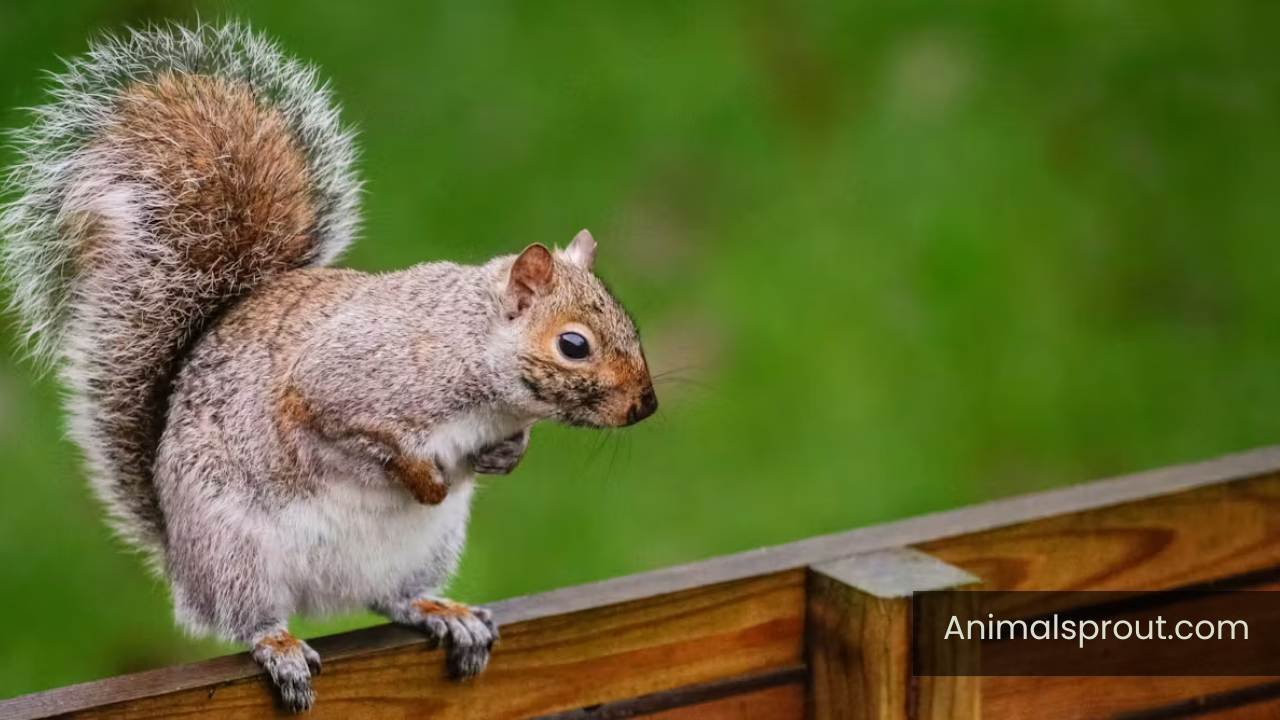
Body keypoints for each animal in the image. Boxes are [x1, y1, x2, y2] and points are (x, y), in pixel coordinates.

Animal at [0, 22, 657, 712]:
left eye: (629, 323)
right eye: (574, 345)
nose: (646, 404)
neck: (472, 357)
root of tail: (180, 557)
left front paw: (505, 457)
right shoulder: (341, 383)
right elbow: (357, 436)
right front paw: (425, 480)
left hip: (420, 552)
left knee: (393, 597)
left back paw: (441, 612)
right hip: (237, 556)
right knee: (249, 617)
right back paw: (280, 647)